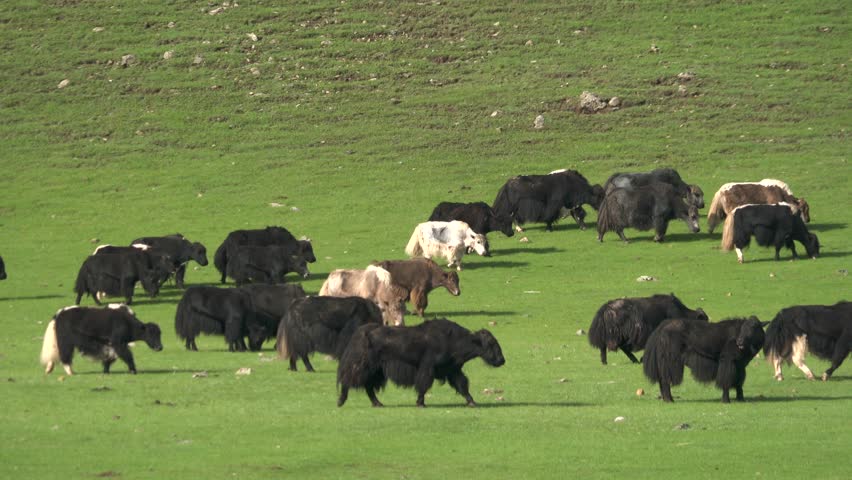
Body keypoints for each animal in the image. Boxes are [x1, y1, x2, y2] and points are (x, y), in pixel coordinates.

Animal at [336, 318, 505, 408]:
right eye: (490, 344)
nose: (502, 360)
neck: (455, 340)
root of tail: (362, 332)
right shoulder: (428, 368)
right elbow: (423, 385)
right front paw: (420, 403)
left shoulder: (453, 370)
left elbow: (462, 385)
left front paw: (472, 402)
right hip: (363, 367)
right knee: (349, 380)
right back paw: (341, 401)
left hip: (376, 371)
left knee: (368, 386)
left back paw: (378, 403)